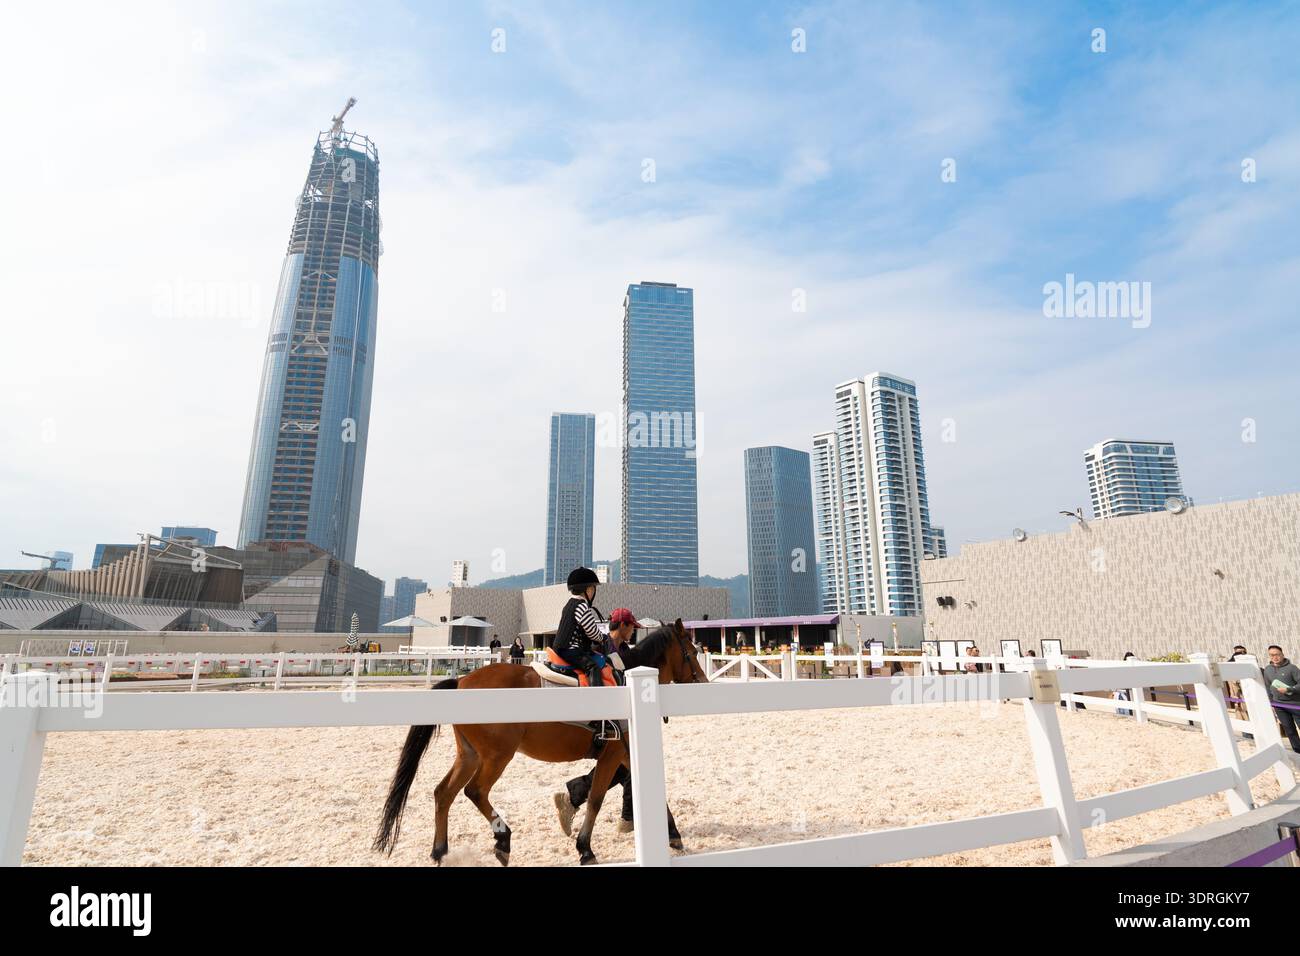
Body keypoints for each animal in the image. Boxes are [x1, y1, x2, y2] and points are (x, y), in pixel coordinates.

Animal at [372, 619, 708, 866]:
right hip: (497, 756)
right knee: (475, 791)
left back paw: (440, 851)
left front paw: (673, 835)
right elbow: (597, 799)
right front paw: (585, 849)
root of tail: (463, 681)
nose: (704, 684)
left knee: (444, 793)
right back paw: (502, 839)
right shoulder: (612, 755)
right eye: (692, 653)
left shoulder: (623, 751)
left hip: (469, 754)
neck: (624, 679)